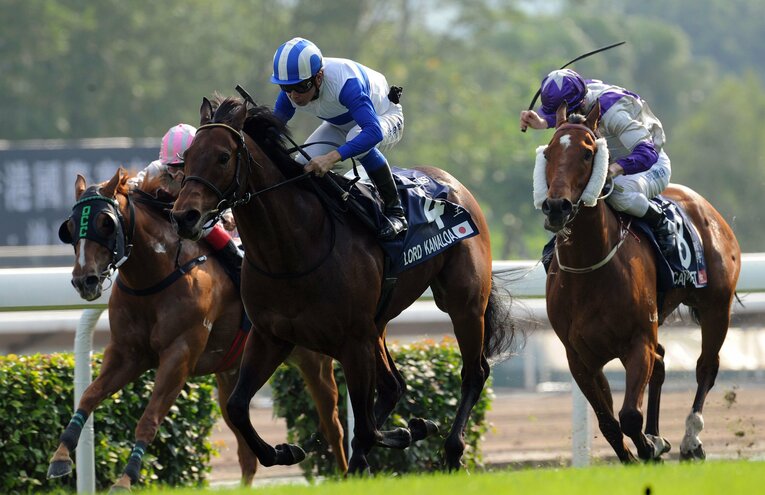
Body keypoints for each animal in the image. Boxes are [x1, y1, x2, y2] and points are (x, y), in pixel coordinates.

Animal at [50, 167, 347, 491]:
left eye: (106, 222)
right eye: (69, 226)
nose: (84, 280)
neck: (155, 278)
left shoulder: (179, 354)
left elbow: (149, 419)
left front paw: (126, 480)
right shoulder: (127, 354)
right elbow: (89, 396)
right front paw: (60, 457)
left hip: (313, 360)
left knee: (333, 424)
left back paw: (350, 474)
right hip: (232, 374)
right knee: (246, 450)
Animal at [169, 96, 516, 473]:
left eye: (222, 156)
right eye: (187, 157)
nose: (183, 216)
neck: (292, 251)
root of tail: (452, 183)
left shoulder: (352, 340)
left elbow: (364, 426)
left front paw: (399, 436)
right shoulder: (270, 336)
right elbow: (237, 407)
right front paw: (286, 451)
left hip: (463, 303)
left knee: (473, 371)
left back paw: (451, 450)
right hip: (378, 324)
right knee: (393, 386)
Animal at [535, 101, 741, 462]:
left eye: (588, 153)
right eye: (548, 153)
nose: (557, 206)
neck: (589, 270)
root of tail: (707, 209)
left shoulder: (637, 341)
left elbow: (630, 415)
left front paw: (648, 448)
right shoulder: (579, 357)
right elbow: (608, 422)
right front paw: (639, 452)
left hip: (716, 306)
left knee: (706, 366)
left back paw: (690, 439)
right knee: (661, 362)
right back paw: (659, 434)